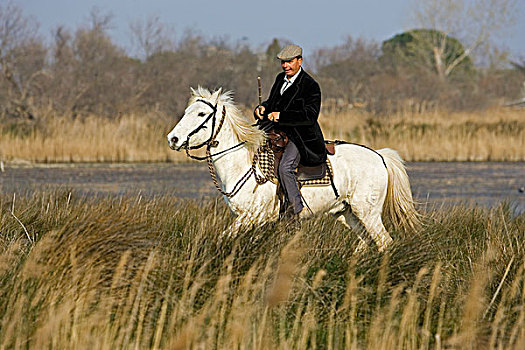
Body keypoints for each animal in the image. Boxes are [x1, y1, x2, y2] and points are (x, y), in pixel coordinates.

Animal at [166, 87, 420, 252]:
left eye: (201, 114)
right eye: (187, 112)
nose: (173, 139)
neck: (244, 162)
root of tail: (380, 156)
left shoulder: (252, 217)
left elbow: (222, 239)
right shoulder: (249, 220)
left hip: (368, 212)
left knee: (384, 242)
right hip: (348, 214)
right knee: (368, 243)